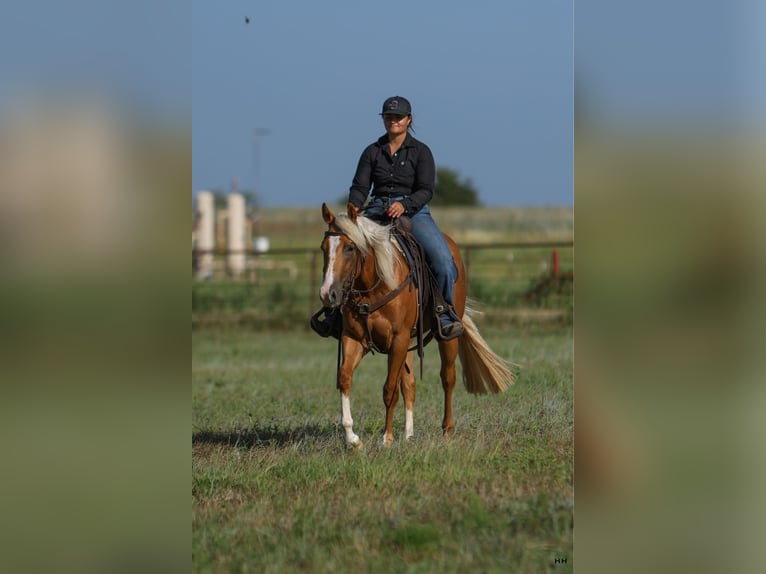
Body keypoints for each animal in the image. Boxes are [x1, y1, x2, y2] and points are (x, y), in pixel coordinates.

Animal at [318, 202, 516, 450]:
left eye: (350, 248)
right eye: (323, 248)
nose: (328, 294)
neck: (376, 285)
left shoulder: (398, 339)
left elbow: (389, 390)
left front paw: (387, 438)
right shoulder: (354, 338)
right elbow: (344, 378)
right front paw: (352, 438)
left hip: (446, 338)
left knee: (447, 378)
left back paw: (446, 431)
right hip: (410, 341)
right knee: (410, 384)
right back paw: (409, 434)